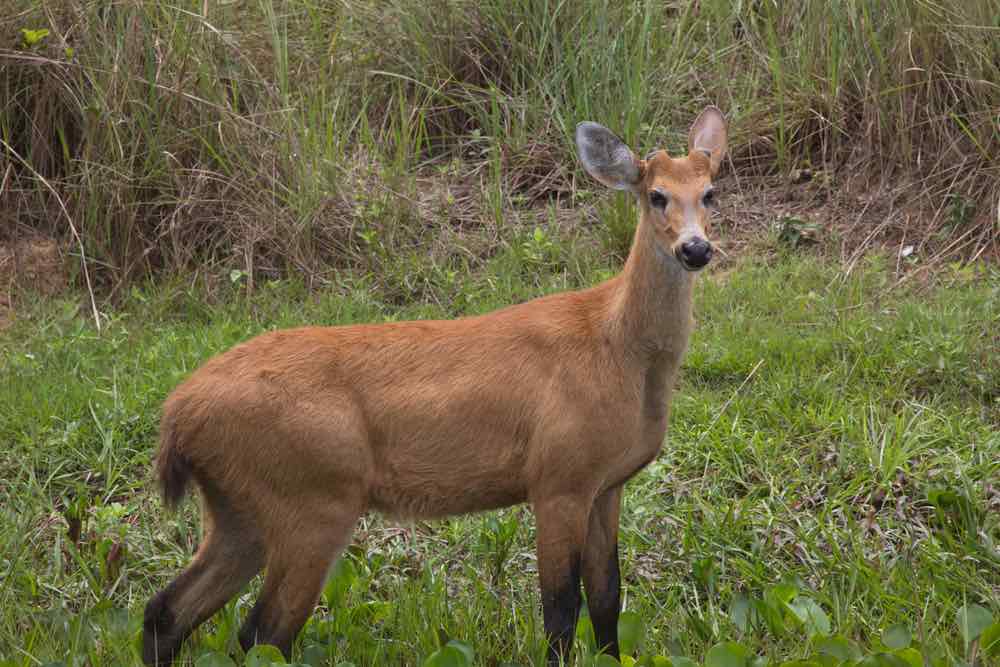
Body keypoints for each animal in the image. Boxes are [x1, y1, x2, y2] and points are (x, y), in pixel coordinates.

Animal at [143, 107, 728, 664]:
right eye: (655, 195)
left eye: (709, 192)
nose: (696, 249)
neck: (620, 351)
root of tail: (177, 415)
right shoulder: (558, 476)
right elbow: (561, 611)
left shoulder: (607, 483)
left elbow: (607, 599)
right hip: (312, 496)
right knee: (262, 634)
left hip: (239, 508)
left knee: (168, 609)